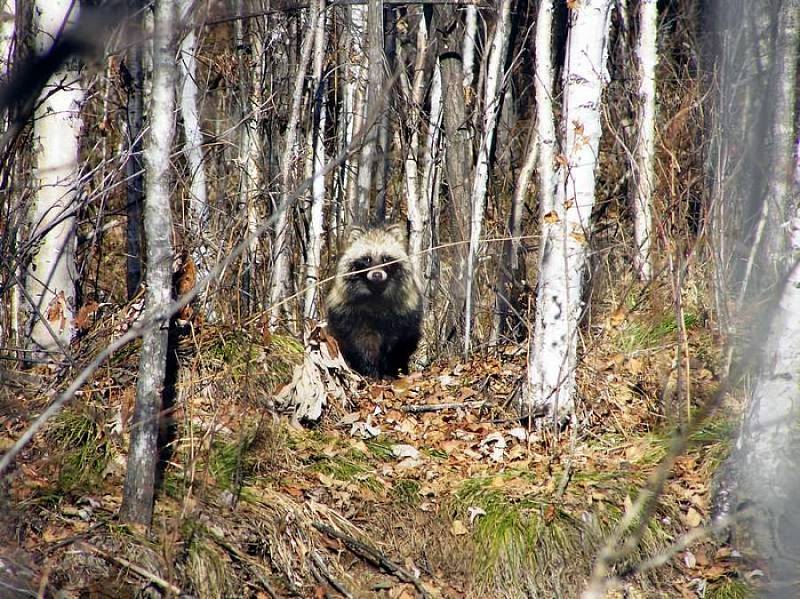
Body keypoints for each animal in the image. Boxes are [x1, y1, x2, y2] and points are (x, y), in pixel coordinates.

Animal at [326, 223, 424, 378]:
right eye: (367, 259)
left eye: (386, 258)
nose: (377, 274)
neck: (376, 291)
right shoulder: (351, 312)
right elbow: (361, 341)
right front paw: (370, 369)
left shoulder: (403, 310)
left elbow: (397, 340)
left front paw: (390, 368)